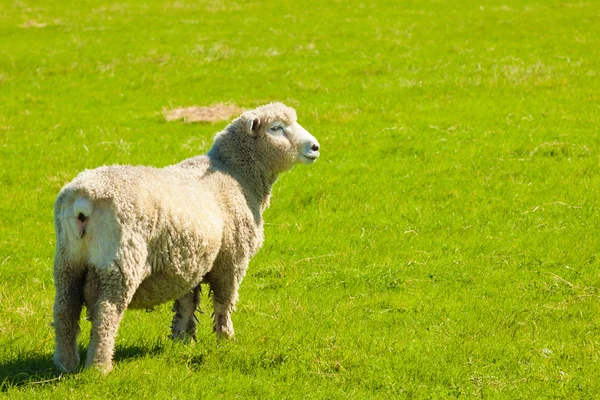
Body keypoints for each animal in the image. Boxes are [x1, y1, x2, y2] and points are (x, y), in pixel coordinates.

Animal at [54, 102, 322, 372]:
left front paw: (182, 340)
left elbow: (186, 303)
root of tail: (83, 201)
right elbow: (224, 304)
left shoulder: (188, 260)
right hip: (120, 263)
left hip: (68, 263)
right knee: (106, 314)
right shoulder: (231, 260)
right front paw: (226, 339)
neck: (235, 173)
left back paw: (66, 364)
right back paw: (100, 367)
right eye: (276, 128)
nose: (315, 147)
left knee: (65, 312)